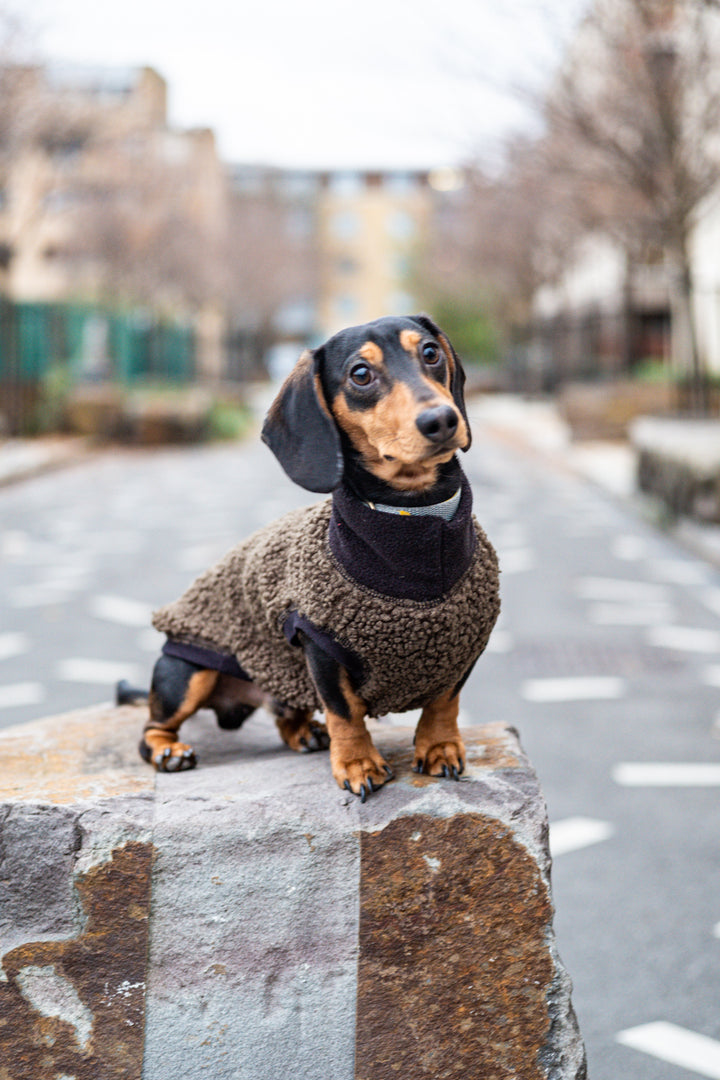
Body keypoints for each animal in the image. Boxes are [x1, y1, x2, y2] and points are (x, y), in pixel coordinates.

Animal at [119, 313, 500, 803]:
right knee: (151, 728)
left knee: (286, 716)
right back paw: (169, 751)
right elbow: (345, 712)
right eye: (361, 374)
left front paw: (439, 748)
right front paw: (358, 764)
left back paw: (304, 731)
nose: (443, 419)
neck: (415, 527)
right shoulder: (319, 643)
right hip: (186, 669)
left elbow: (444, 702)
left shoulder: (465, 645)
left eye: (431, 352)